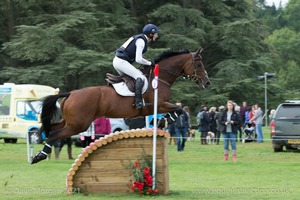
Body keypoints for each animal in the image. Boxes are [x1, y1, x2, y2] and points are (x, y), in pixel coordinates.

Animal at [29, 47, 209, 163]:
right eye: (199, 65)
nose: (207, 82)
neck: (160, 78)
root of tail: (71, 93)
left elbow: (177, 110)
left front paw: (159, 121)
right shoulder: (160, 104)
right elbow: (178, 109)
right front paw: (162, 121)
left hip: (71, 122)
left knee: (53, 128)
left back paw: (41, 153)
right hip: (79, 124)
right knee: (55, 134)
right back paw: (40, 156)